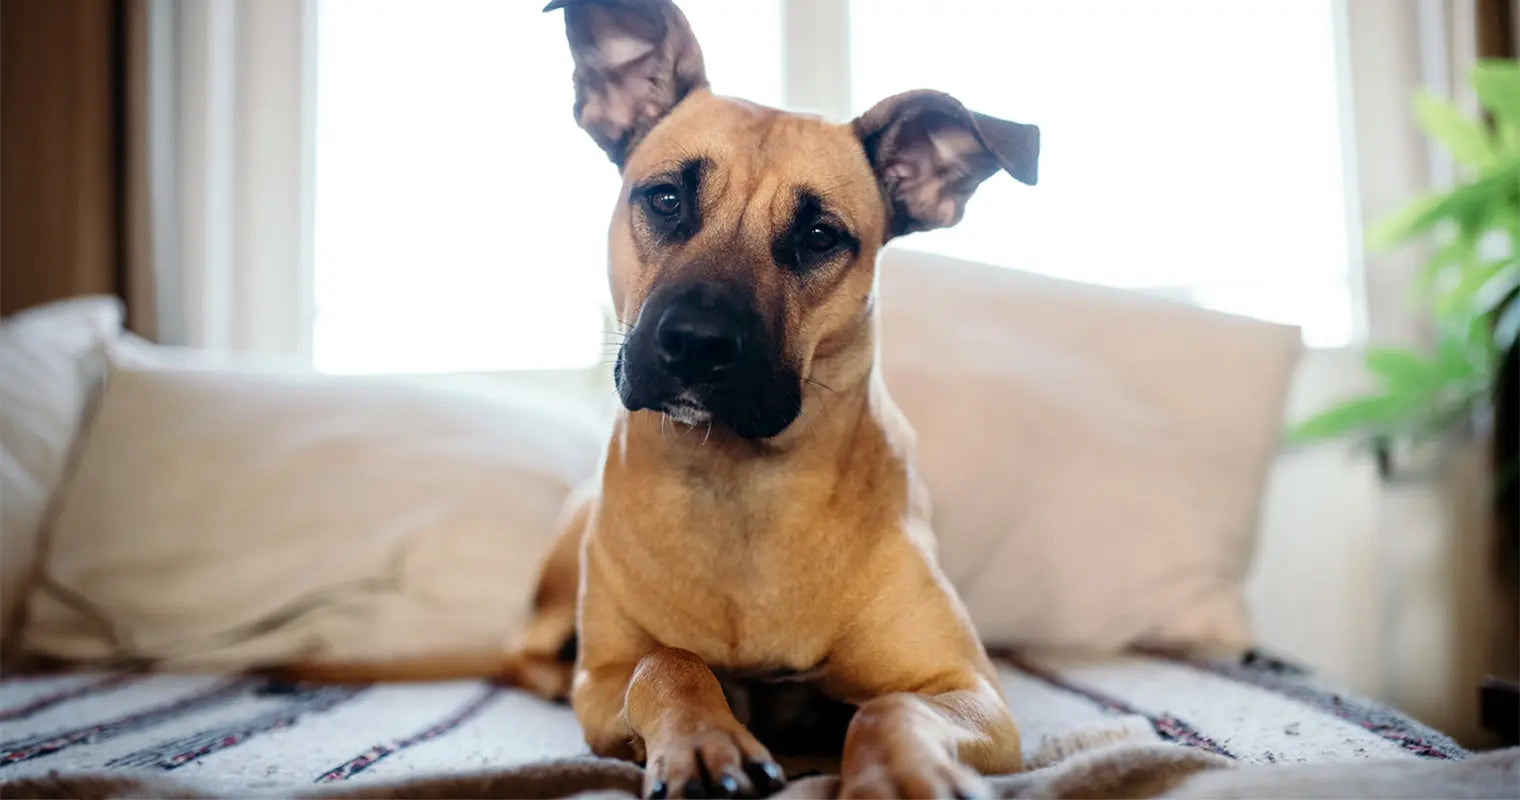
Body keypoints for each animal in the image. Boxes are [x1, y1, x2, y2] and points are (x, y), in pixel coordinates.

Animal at [290, 3, 1039, 796]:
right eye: (667, 198)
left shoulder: (967, 691)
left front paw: (900, 774)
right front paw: (703, 738)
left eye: (818, 236)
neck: (742, 485)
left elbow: (888, 706)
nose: (698, 344)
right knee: (527, 650)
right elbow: (666, 661)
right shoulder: (607, 678)